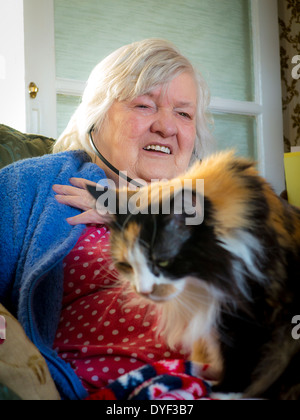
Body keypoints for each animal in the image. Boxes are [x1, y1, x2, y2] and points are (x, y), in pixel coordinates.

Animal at [88, 152, 300, 400]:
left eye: (162, 262)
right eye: (126, 265)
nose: (143, 291)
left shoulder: (250, 309)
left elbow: (241, 358)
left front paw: (223, 391)